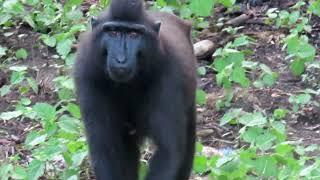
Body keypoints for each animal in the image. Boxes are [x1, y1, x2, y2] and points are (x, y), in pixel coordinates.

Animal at [73, 0, 196, 180]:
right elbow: (105, 149)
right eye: (113, 32)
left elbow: (168, 151)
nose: (121, 59)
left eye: (133, 35)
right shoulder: (87, 73)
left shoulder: (170, 73)